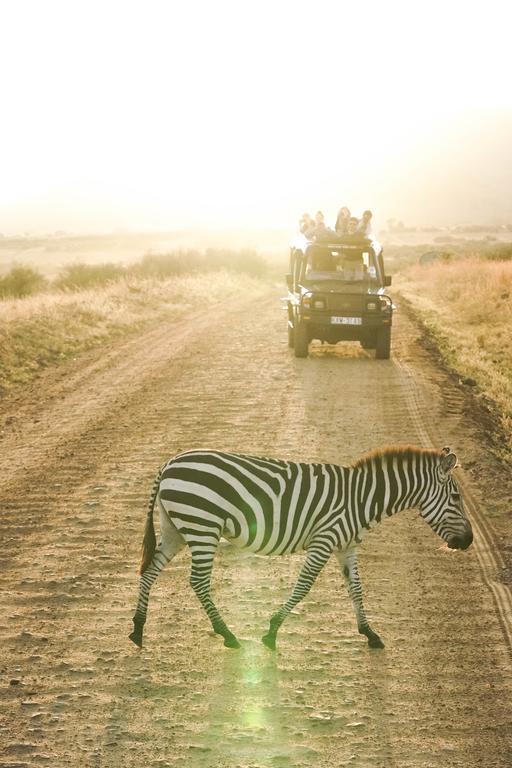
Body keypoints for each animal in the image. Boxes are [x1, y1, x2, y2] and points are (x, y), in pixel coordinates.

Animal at [129, 445, 473, 651]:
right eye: (456, 498)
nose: (469, 542)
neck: (361, 499)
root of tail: (169, 463)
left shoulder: (347, 546)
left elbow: (356, 589)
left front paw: (370, 633)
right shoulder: (325, 540)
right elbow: (303, 586)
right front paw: (271, 632)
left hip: (177, 528)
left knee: (150, 571)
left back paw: (138, 628)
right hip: (203, 527)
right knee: (198, 581)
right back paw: (227, 634)